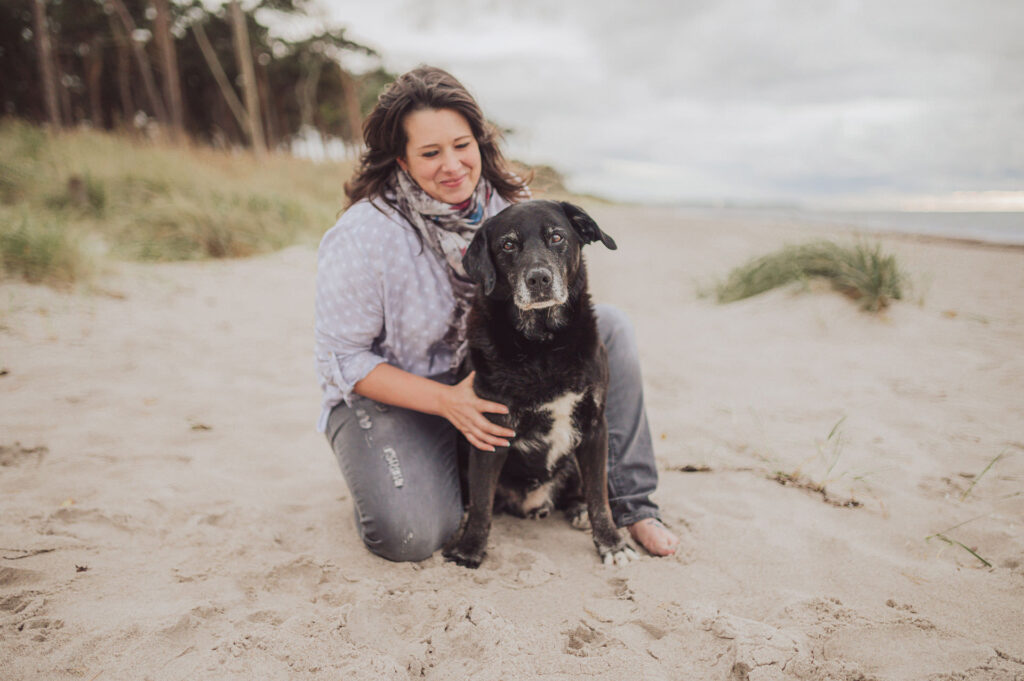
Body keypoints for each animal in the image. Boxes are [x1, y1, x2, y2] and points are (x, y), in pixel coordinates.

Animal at [442, 199, 634, 565]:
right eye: (507, 245)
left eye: (557, 237)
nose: (539, 278)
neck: (542, 344)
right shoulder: (490, 430)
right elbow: (482, 502)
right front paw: (470, 549)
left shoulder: (594, 426)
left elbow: (599, 495)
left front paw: (611, 542)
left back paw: (578, 509)